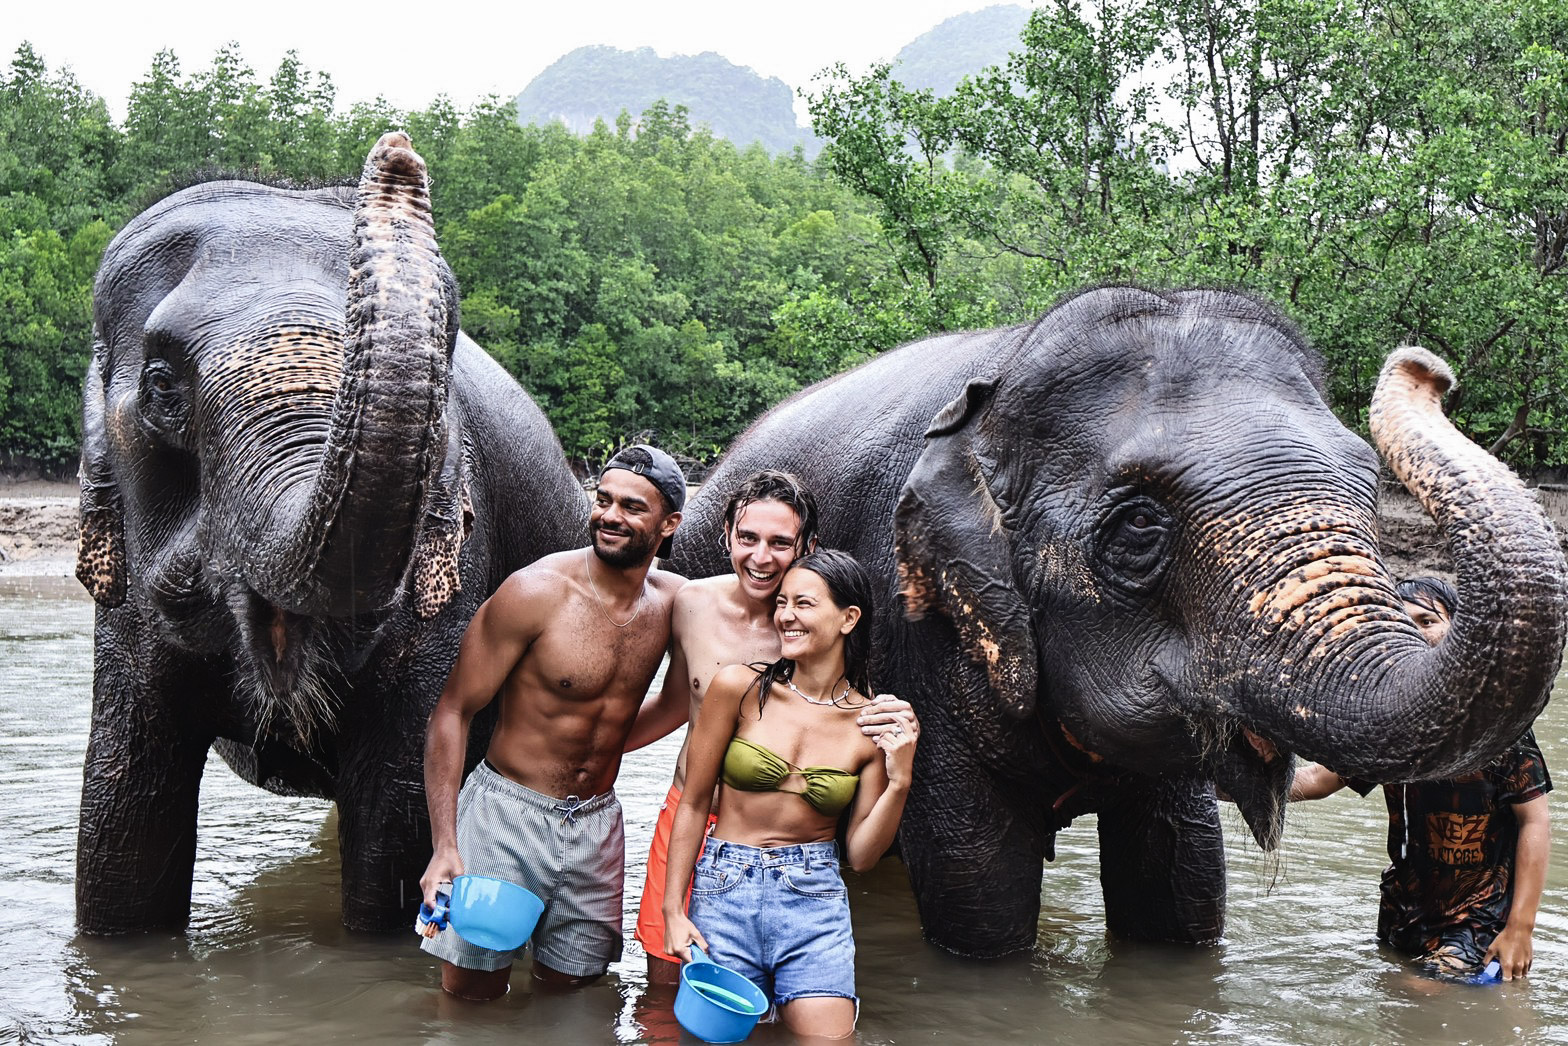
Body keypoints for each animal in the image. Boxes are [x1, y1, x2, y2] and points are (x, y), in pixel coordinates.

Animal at [667, 283, 1561, 959]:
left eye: (1371, 493)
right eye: (1138, 528)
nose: (1429, 368)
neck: (1004, 377)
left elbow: (1183, 880)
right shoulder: (921, 628)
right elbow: (976, 886)